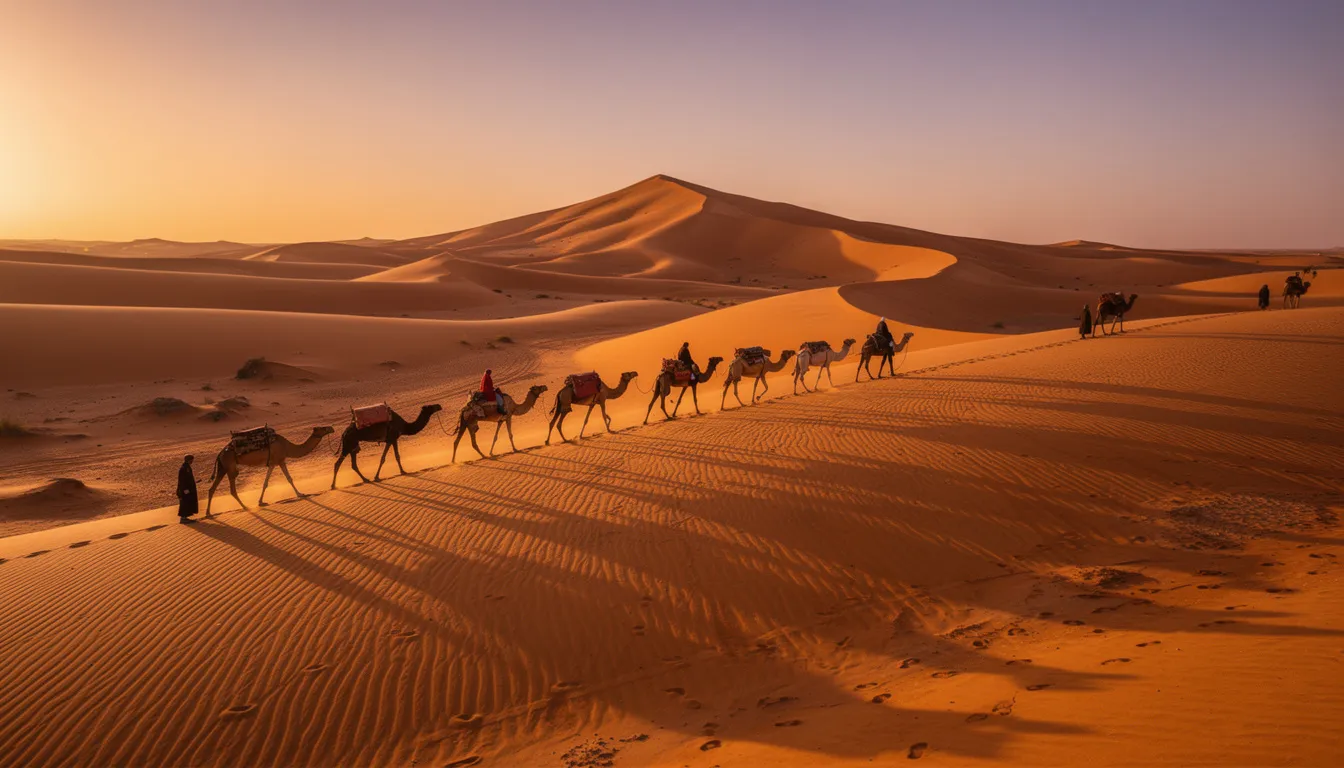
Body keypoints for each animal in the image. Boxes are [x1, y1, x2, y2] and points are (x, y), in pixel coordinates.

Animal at [205, 425, 334, 515]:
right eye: (322, 428)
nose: (331, 428)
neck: (287, 446)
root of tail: (220, 454)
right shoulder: (277, 461)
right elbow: (278, 480)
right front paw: (300, 494)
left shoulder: (277, 462)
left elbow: (277, 481)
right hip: (230, 467)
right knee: (232, 489)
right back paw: (245, 506)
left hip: (223, 467)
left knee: (212, 489)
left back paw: (208, 513)